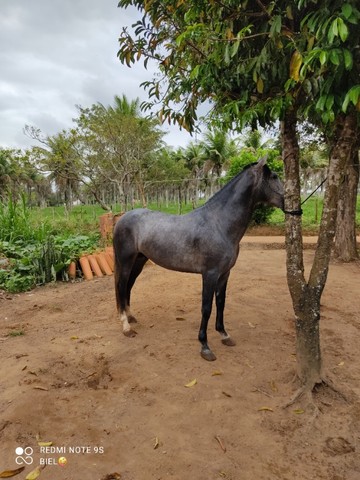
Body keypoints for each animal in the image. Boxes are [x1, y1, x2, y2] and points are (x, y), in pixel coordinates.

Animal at [113, 157, 284, 360]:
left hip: (139, 261)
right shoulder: (209, 274)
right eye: (274, 177)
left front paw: (224, 335)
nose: (292, 205)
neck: (219, 224)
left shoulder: (224, 274)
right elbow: (206, 308)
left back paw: (131, 317)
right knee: (121, 287)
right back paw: (126, 327)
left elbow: (221, 303)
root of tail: (122, 218)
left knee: (128, 287)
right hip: (125, 261)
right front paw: (205, 346)